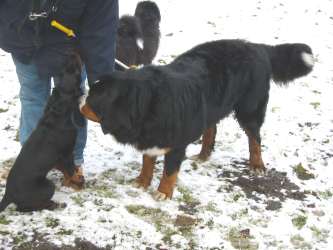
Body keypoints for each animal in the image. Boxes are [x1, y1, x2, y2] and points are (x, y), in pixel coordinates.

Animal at [0, 53, 84, 212]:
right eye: (75, 71)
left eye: (63, 71)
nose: (71, 53)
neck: (57, 114)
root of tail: (8, 195)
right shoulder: (67, 152)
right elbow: (71, 170)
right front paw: (78, 181)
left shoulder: (60, 158)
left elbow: (66, 171)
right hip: (47, 186)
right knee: (25, 208)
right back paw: (55, 204)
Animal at [79, 39, 312, 199]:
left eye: (92, 98)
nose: (79, 96)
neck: (148, 103)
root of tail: (256, 46)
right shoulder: (151, 138)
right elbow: (147, 162)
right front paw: (141, 181)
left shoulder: (175, 143)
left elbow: (169, 171)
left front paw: (163, 193)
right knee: (211, 129)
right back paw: (203, 154)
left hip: (250, 109)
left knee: (254, 138)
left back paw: (256, 164)